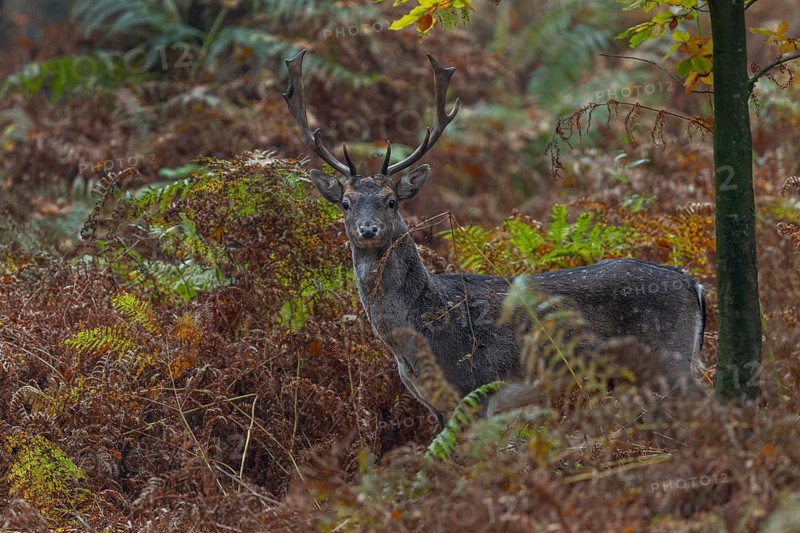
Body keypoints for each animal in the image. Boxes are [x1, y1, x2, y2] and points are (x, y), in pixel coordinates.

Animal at [283, 50, 706, 426]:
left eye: (391, 201)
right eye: (346, 204)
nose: (368, 229)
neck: (415, 337)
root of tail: (694, 285)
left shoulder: (473, 388)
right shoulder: (436, 406)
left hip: (671, 357)